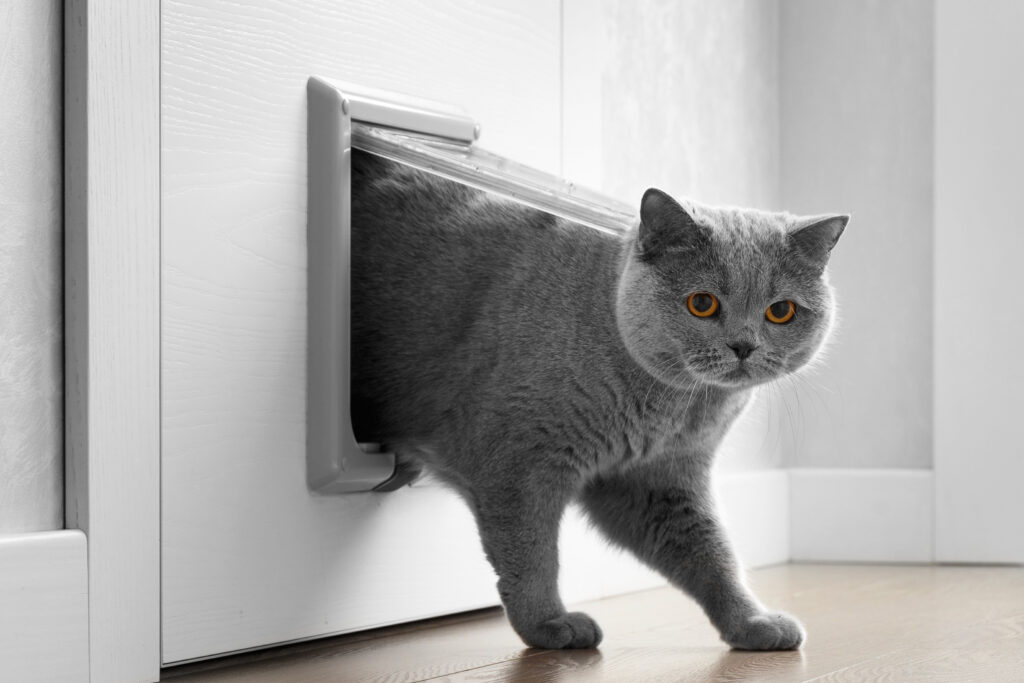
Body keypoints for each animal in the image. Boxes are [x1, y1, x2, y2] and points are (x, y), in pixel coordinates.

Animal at [352, 149, 847, 651]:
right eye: (702, 304)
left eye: (780, 311)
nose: (743, 346)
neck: (675, 410)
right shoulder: (517, 463)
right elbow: (531, 552)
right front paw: (549, 625)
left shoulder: (657, 481)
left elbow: (711, 553)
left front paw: (753, 624)